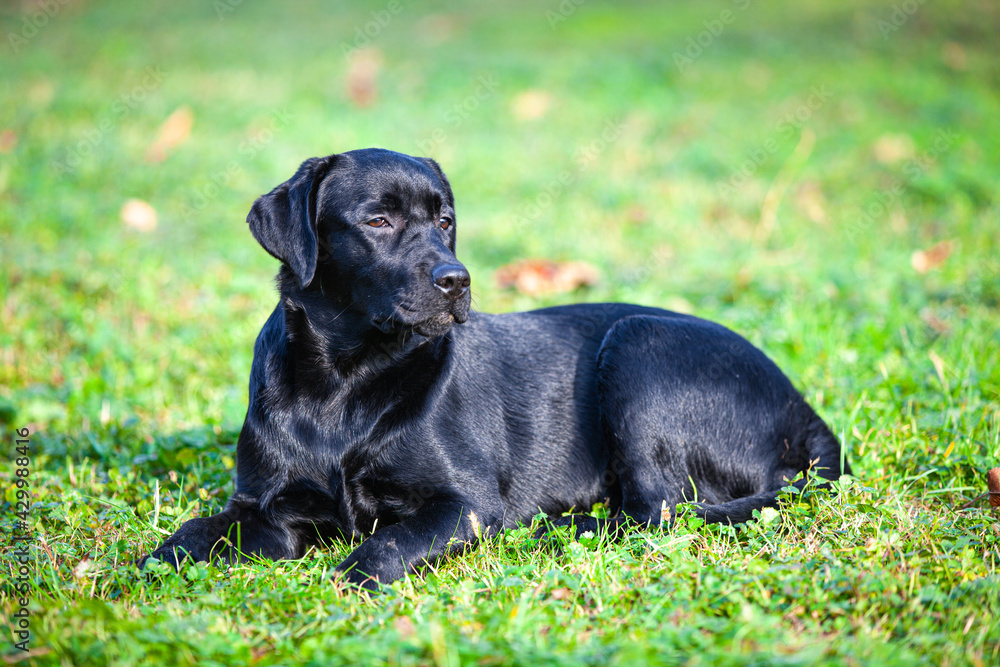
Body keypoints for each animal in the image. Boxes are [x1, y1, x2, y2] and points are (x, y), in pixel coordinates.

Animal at [146, 149, 852, 588]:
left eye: (445, 220)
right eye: (378, 220)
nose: (456, 280)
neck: (344, 384)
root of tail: (805, 410)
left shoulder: (466, 503)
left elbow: (390, 541)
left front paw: (354, 577)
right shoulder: (265, 507)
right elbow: (195, 532)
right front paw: (143, 571)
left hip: (639, 346)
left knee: (659, 510)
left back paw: (557, 527)